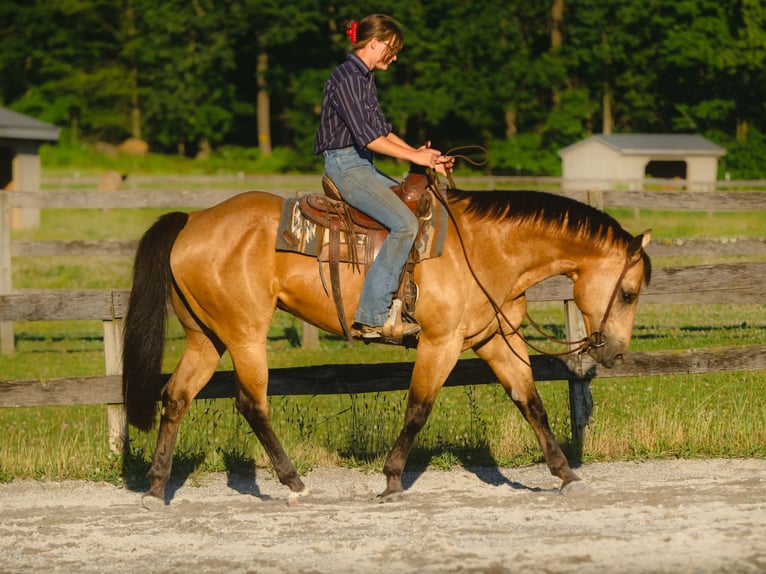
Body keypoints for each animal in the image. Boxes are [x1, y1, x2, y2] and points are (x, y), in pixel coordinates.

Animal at [122, 182, 651, 503]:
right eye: (628, 293)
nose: (614, 352)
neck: (484, 249)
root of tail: (192, 220)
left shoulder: (494, 338)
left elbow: (530, 400)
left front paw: (565, 473)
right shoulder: (440, 342)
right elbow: (419, 407)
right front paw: (393, 478)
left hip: (206, 337)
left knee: (177, 397)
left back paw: (156, 488)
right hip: (245, 336)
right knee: (252, 404)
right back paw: (294, 482)